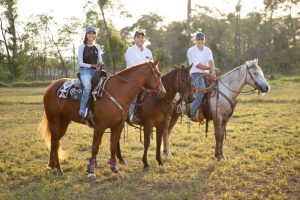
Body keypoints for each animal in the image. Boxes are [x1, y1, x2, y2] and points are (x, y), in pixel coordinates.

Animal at [38, 61, 166, 178]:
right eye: (157, 74)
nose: (163, 92)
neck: (118, 91)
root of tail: (51, 87)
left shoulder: (117, 126)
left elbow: (113, 147)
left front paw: (114, 169)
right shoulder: (100, 127)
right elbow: (95, 147)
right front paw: (91, 171)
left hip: (64, 122)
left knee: (55, 141)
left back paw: (53, 167)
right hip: (54, 120)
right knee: (54, 142)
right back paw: (58, 169)